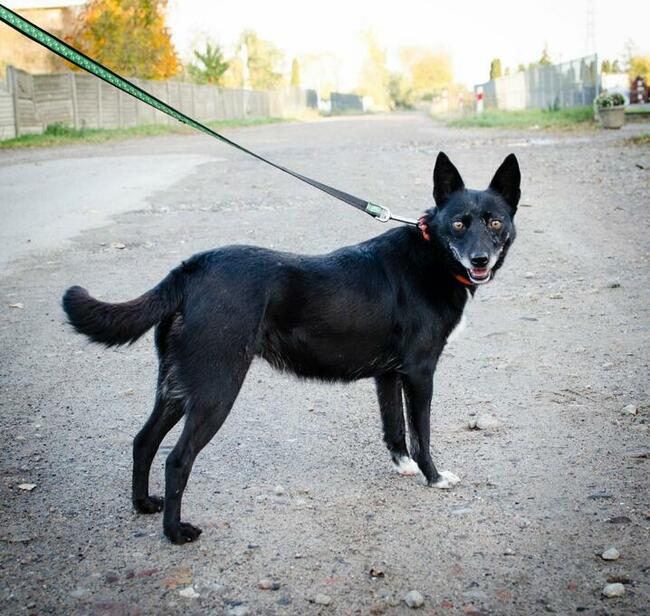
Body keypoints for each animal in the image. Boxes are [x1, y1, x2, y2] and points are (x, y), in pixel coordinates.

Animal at [60, 152, 520, 540]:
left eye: (495, 222)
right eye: (458, 223)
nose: (479, 260)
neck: (433, 255)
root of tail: (191, 269)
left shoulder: (389, 375)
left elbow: (394, 429)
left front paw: (403, 466)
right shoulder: (420, 373)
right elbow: (421, 432)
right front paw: (433, 477)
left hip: (176, 386)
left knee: (143, 441)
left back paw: (142, 504)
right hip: (215, 390)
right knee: (177, 459)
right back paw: (176, 533)